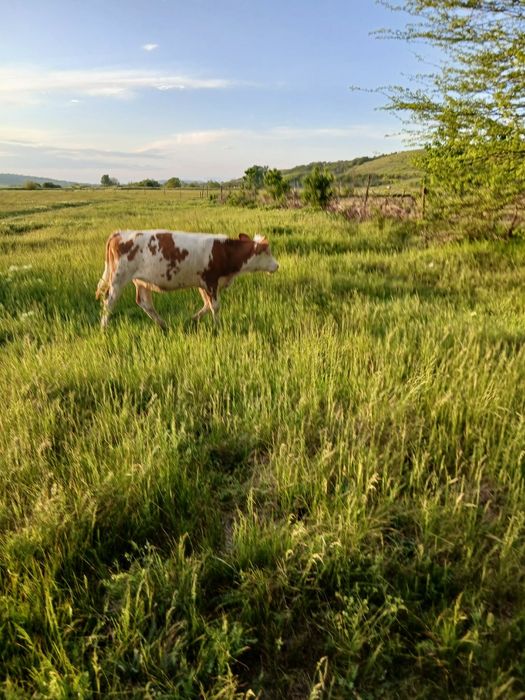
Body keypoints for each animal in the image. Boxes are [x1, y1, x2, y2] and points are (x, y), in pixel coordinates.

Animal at [95, 230, 279, 329]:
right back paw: (104, 328)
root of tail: (120, 233)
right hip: (118, 279)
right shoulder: (211, 281)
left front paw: (191, 320)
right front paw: (217, 327)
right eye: (267, 252)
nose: (277, 266)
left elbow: (207, 305)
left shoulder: (203, 284)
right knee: (109, 302)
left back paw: (163, 325)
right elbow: (215, 306)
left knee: (145, 303)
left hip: (141, 281)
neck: (225, 251)